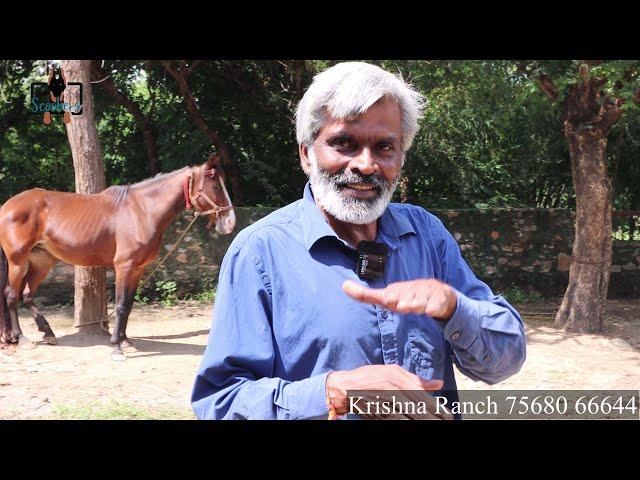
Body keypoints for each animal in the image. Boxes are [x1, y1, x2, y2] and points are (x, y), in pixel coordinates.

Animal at [0, 154, 235, 360]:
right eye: (215, 186)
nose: (230, 222)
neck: (141, 211)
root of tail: (7, 206)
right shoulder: (124, 267)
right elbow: (121, 305)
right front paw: (116, 348)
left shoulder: (138, 270)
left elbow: (128, 306)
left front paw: (126, 342)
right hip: (18, 261)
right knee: (11, 294)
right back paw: (22, 338)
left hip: (42, 261)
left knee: (27, 295)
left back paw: (46, 333)